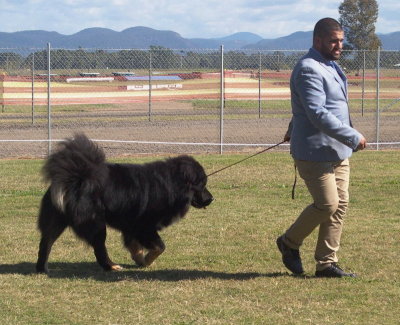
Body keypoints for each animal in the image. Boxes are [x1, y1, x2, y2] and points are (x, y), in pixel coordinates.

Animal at [36, 133, 214, 272]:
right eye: (202, 185)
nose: (211, 198)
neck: (171, 183)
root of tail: (77, 178)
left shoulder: (131, 224)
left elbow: (135, 245)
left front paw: (139, 259)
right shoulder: (145, 226)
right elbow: (160, 246)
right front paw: (148, 260)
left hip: (56, 220)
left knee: (46, 243)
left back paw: (42, 269)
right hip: (96, 224)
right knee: (99, 249)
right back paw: (111, 266)